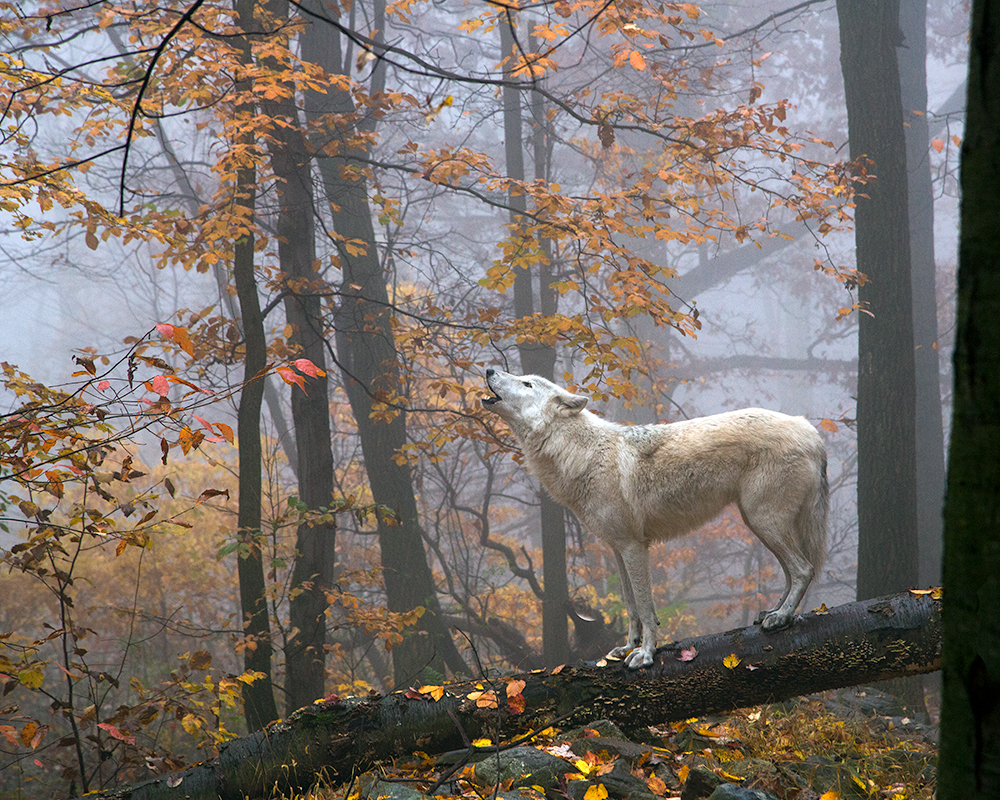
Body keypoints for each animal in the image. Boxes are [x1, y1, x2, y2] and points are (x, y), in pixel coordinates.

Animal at [484, 368, 828, 668]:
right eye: (521, 377)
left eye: (527, 383)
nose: (488, 369)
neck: (584, 454)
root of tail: (809, 430)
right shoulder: (617, 549)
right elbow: (630, 605)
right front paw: (626, 647)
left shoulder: (635, 547)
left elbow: (646, 607)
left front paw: (646, 654)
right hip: (758, 522)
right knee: (792, 571)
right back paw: (776, 611)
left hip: (763, 521)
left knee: (803, 569)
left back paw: (782, 617)